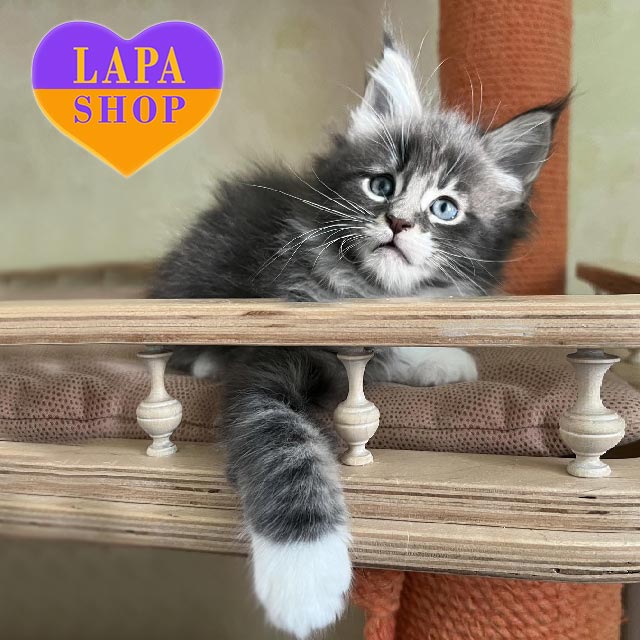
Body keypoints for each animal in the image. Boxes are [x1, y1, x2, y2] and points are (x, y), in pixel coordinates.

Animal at [150, 31, 564, 639]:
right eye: (381, 185)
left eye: (445, 207)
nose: (398, 222)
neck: (370, 294)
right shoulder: (272, 357)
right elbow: (283, 441)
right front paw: (305, 577)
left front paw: (439, 360)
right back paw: (206, 358)